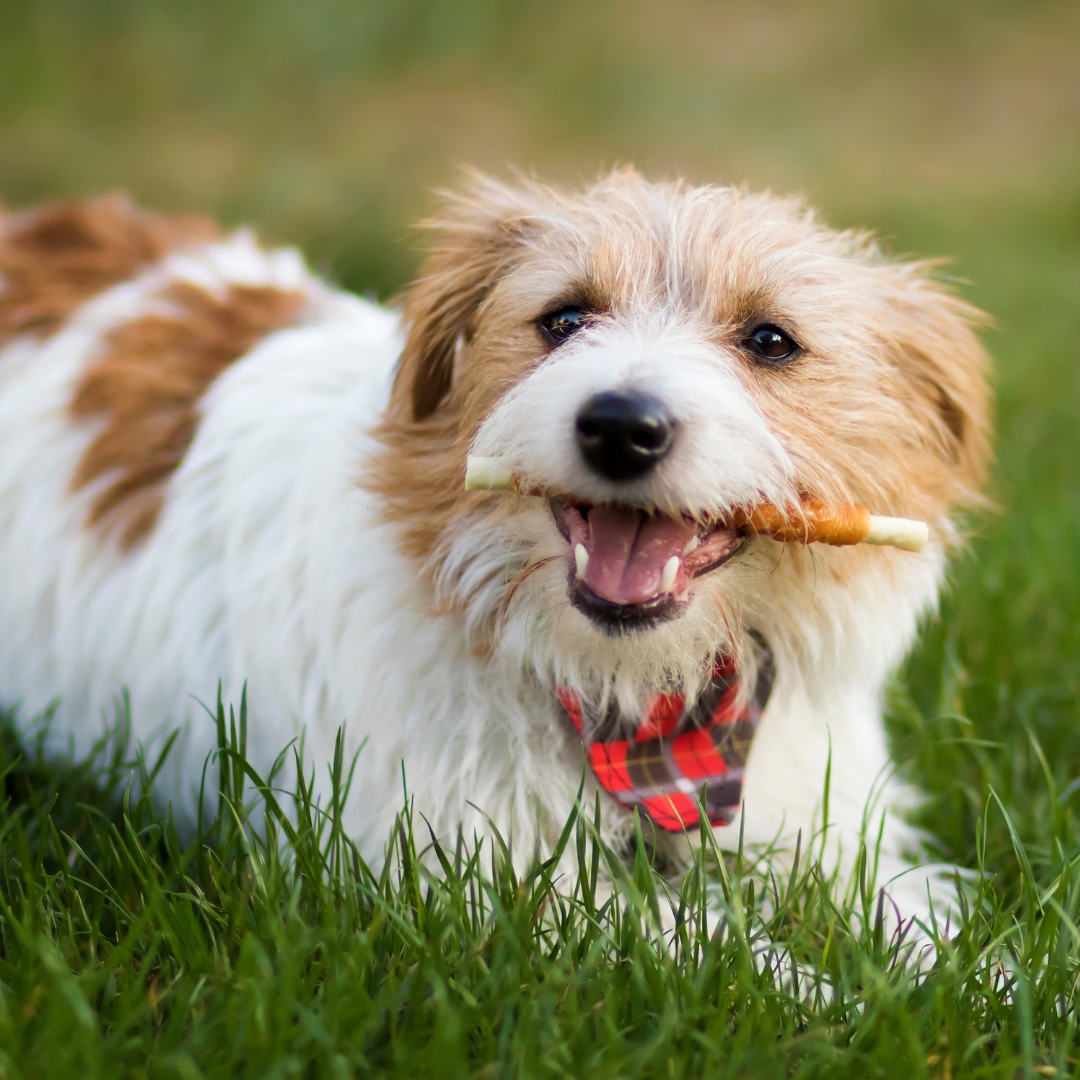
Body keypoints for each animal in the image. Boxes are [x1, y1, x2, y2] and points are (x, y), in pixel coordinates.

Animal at [0, 170, 989, 920]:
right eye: (564, 319)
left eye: (771, 340)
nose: (620, 426)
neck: (642, 709)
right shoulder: (481, 886)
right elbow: (741, 966)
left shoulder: (830, 832)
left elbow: (927, 932)